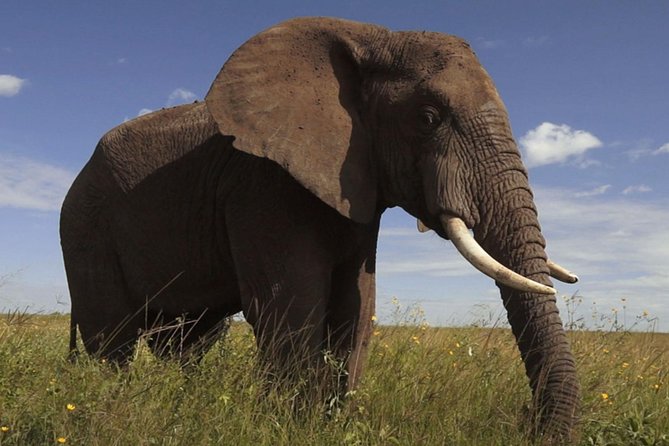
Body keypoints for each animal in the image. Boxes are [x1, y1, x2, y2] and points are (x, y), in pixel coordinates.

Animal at [60, 17, 580, 440]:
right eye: (428, 118)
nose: (528, 424)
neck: (372, 39)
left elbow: (357, 306)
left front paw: (330, 424)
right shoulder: (263, 187)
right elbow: (290, 307)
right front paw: (291, 427)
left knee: (190, 340)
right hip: (86, 227)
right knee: (113, 339)